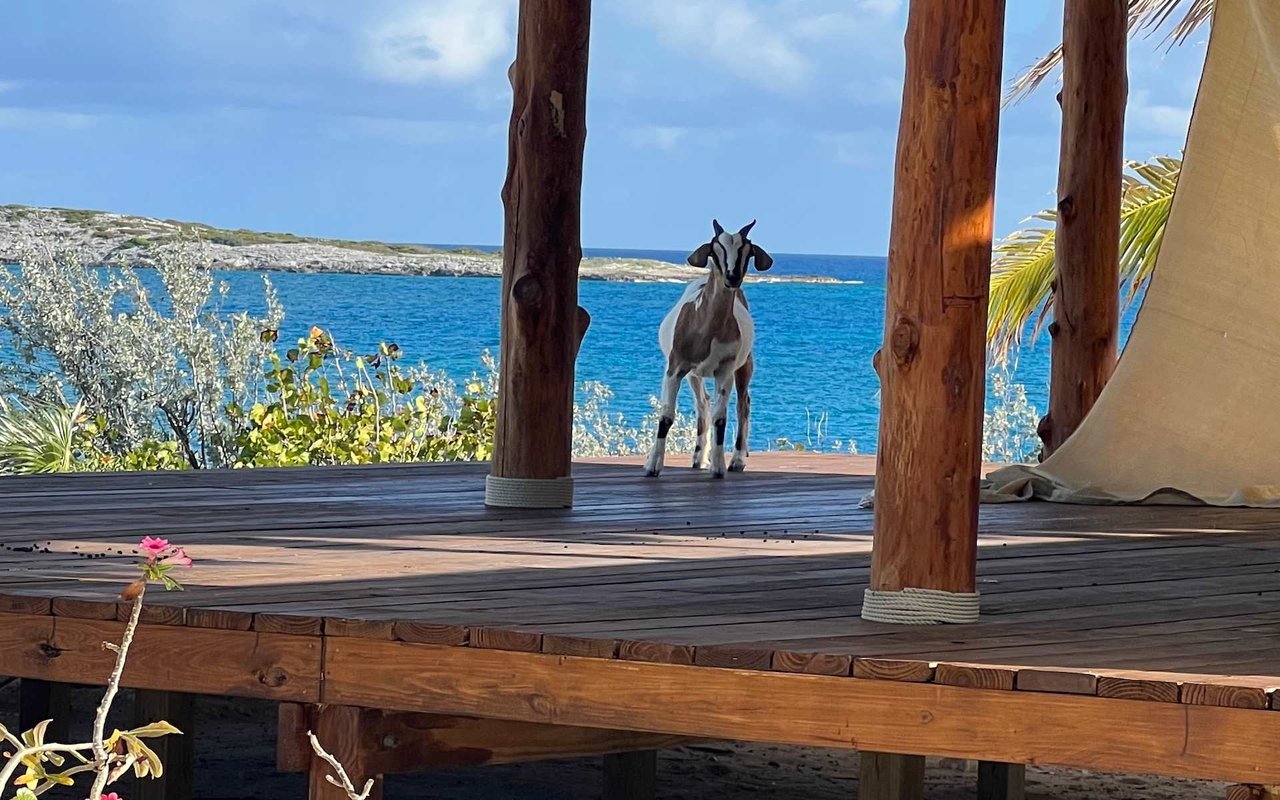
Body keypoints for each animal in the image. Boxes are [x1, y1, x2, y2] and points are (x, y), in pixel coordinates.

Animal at [645, 218, 773, 476]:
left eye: (747, 251)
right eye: (715, 250)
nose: (732, 277)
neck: (707, 328)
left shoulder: (725, 371)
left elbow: (720, 418)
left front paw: (718, 466)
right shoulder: (675, 367)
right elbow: (666, 415)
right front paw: (653, 465)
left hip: (745, 364)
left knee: (742, 404)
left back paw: (736, 460)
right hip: (694, 374)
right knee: (702, 404)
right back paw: (698, 457)